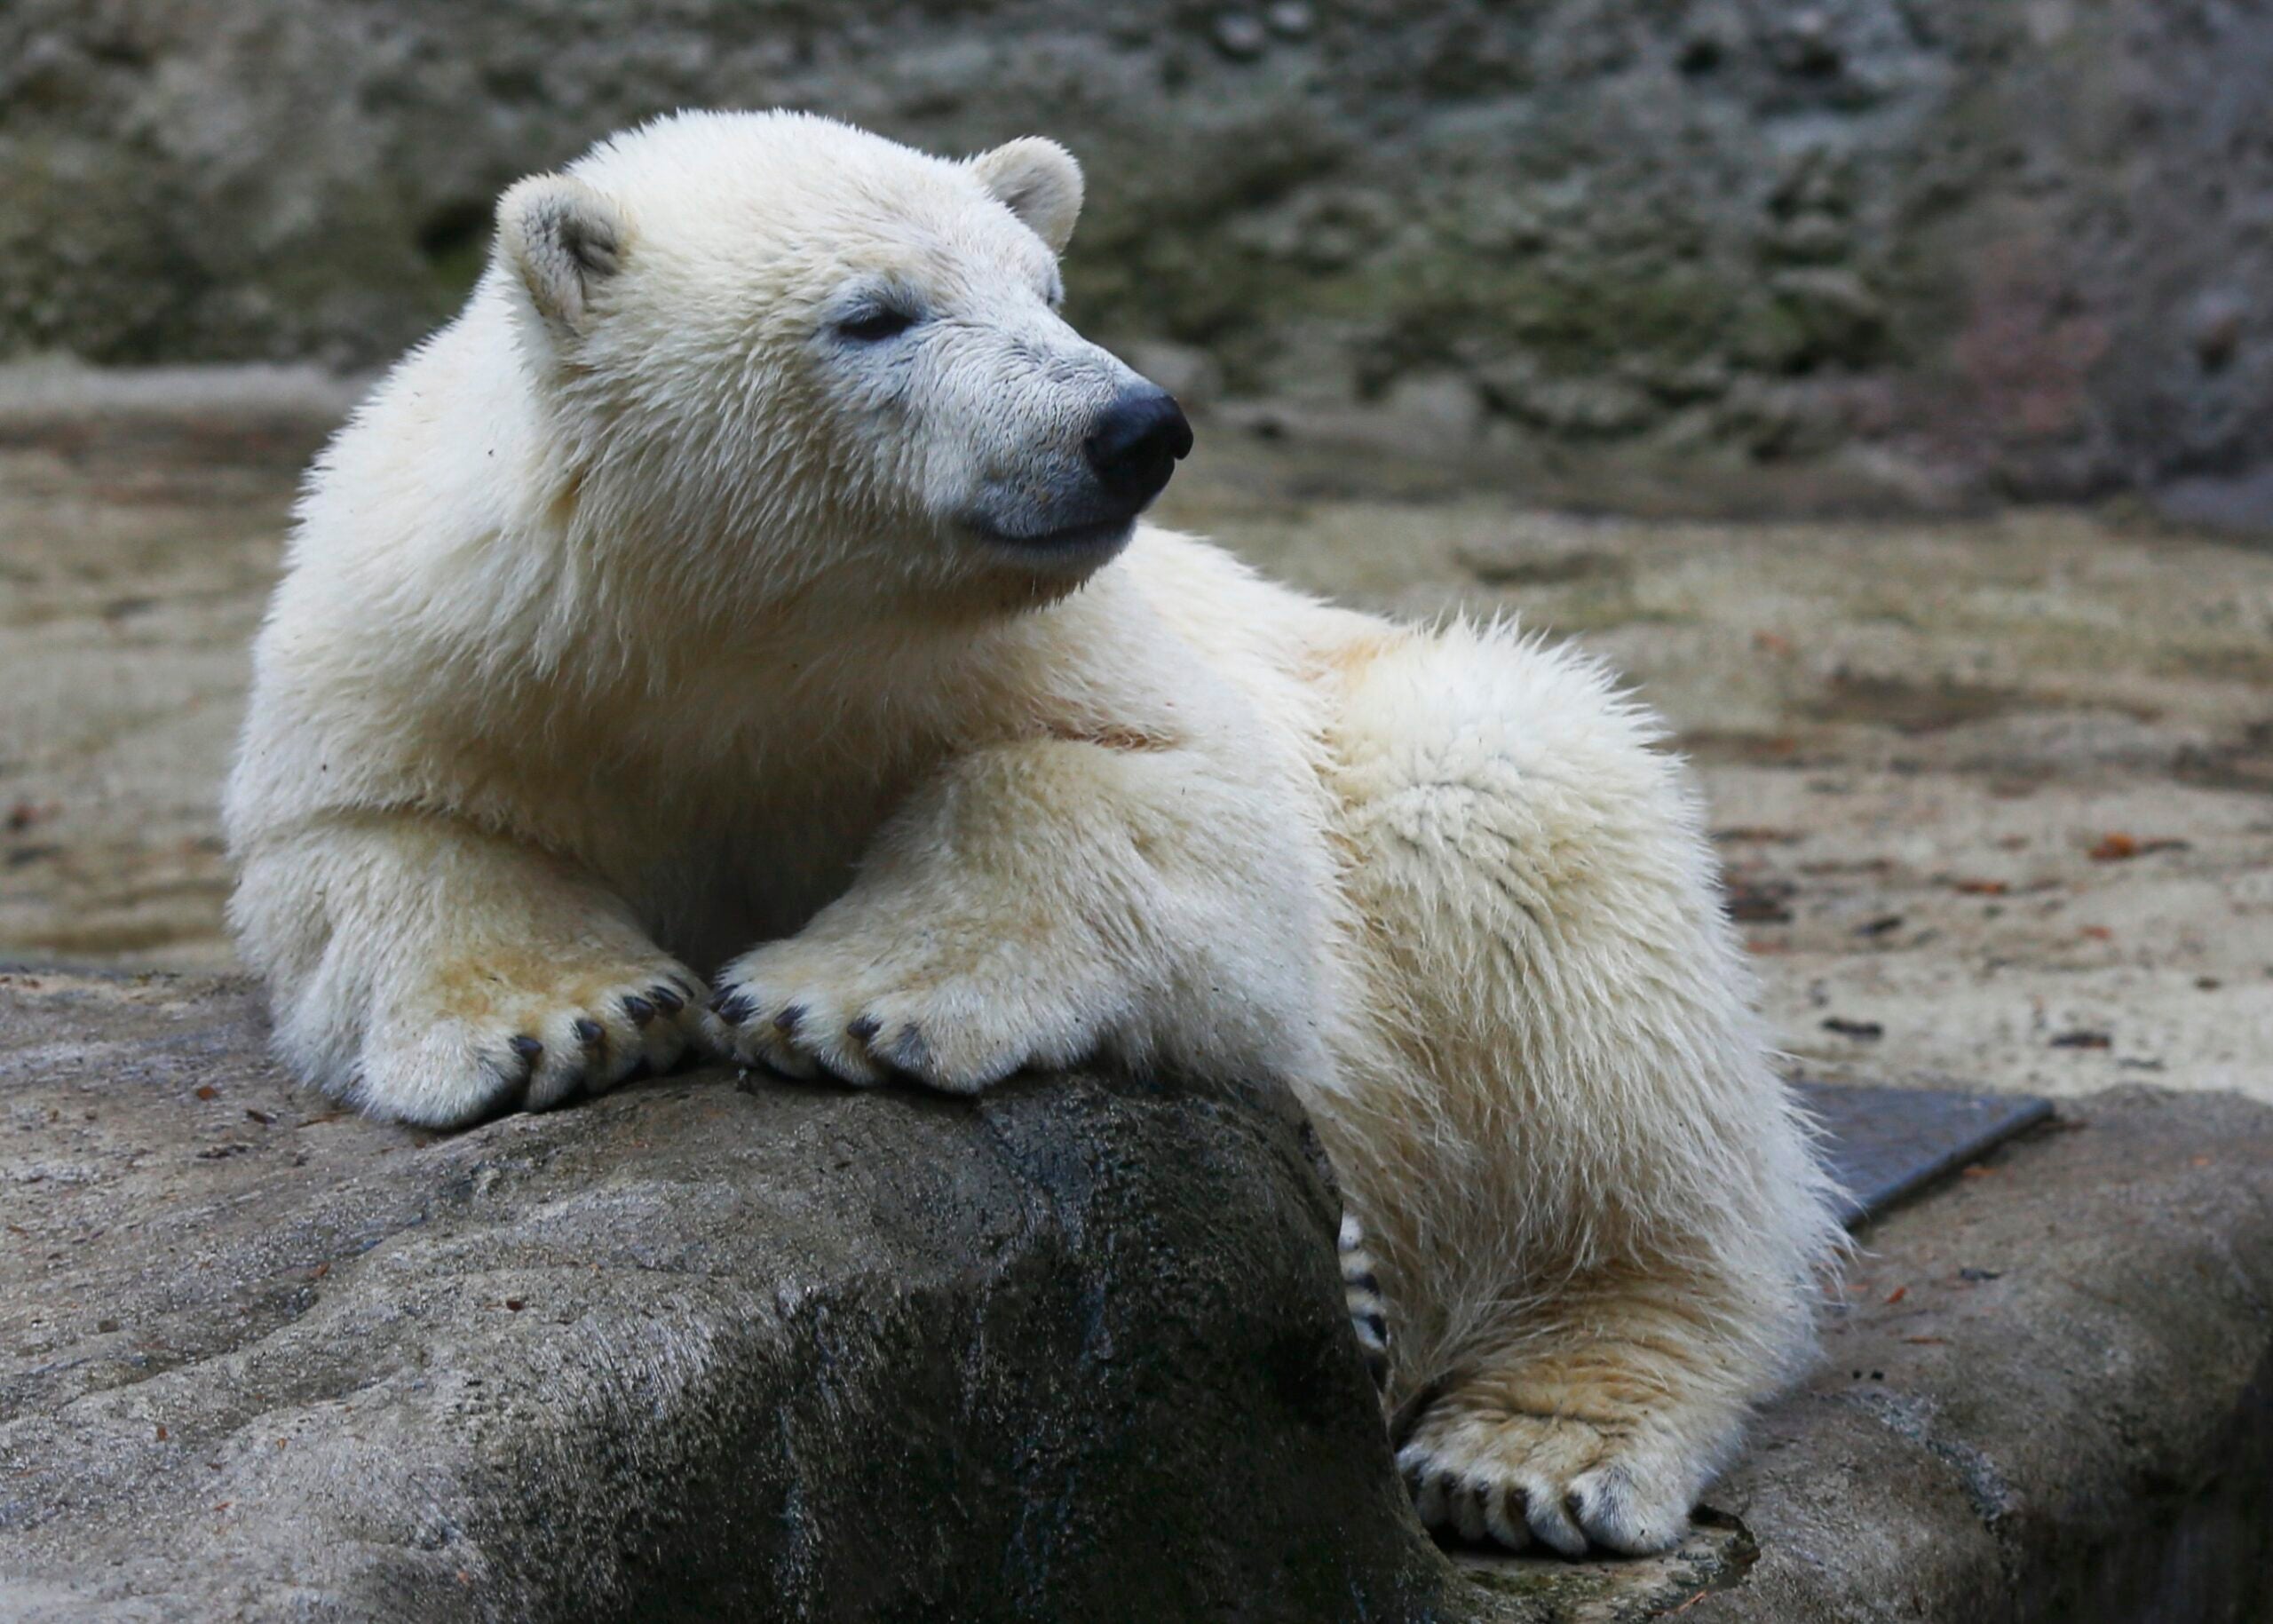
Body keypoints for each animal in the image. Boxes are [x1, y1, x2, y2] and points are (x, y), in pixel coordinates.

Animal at [221, 107, 1845, 1546]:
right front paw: (570, 1018)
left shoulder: (1060, 644)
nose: (1134, 426)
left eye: (1047, 289)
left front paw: (839, 1001)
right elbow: (375, 835)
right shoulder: (447, 636)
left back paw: (1534, 1441)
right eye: (875, 314)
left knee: (1562, 937)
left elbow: (1178, 805)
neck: (739, 635)